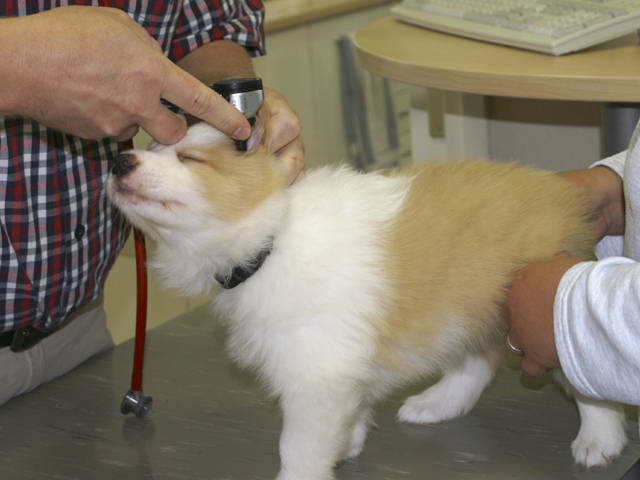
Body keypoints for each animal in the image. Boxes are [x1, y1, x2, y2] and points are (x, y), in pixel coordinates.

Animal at [107, 114, 627, 480]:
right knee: (477, 361)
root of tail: (567, 205)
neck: (270, 241)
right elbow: (349, 412)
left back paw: (599, 439)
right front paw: (348, 442)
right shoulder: (340, 367)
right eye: (153, 146)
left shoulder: (315, 375)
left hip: (526, 309)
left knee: (583, 377)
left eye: (190, 159)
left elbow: (298, 448)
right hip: (464, 309)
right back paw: (436, 404)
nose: (118, 161)